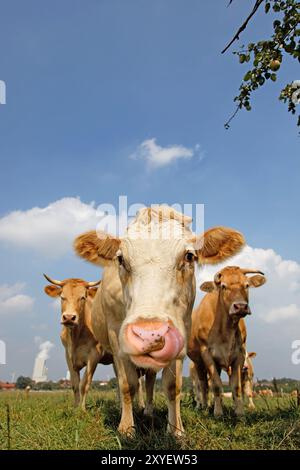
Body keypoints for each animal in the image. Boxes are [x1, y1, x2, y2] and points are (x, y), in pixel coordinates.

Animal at [42, 274, 112, 410]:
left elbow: (84, 384)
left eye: (83, 297)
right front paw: (75, 408)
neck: (76, 337)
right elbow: (74, 384)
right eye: (62, 297)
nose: (69, 317)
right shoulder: (68, 356)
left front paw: (82, 409)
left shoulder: (94, 356)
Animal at [74, 207, 245, 436]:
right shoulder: (116, 337)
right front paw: (126, 428)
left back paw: (147, 411)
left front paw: (175, 429)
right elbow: (127, 385)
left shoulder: (181, 333)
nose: (149, 334)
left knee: (148, 382)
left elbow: (172, 386)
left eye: (189, 256)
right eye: (121, 259)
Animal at [189, 266, 266, 416]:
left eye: (246, 285)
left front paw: (239, 413)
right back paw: (205, 407)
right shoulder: (207, 354)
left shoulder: (239, 355)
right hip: (198, 363)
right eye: (223, 286)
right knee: (203, 385)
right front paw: (218, 413)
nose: (241, 306)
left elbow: (236, 387)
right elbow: (216, 386)